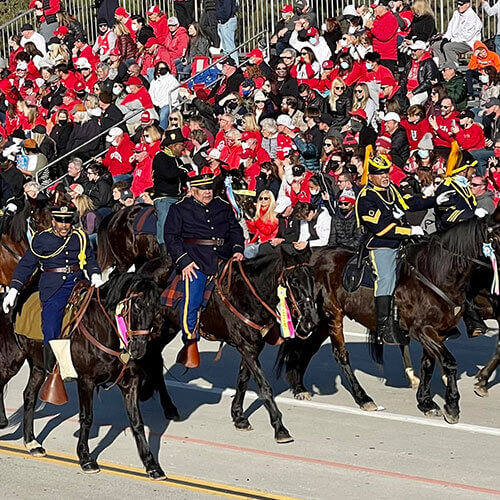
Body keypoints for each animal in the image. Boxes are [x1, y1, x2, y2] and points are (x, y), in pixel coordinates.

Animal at [0, 274, 176, 480]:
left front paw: (151, 464)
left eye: (156, 308)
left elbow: (137, 422)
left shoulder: (130, 382)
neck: (106, 328)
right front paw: (85, 457)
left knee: (29, 396)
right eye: (137, 306)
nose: (139, 349)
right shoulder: (86, 381)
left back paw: (31, 443)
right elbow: (87, 418)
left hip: (38, 366)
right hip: (11, 360)